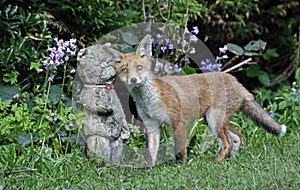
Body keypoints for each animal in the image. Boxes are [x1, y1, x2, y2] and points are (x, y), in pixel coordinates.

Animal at [107, 35, 286, 167]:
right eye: (125, 70)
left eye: (139, 67)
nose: (134, 80)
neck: (149, 99)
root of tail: (236, 81)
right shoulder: (151, 125)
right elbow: (151, 153)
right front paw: (148, 169)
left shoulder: (178, 121)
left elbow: (180, 150)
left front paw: (180, 167)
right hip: (213, 119)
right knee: (237, 137)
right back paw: (231, 160)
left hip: (214, 120)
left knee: (227, 142)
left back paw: (214, 161)